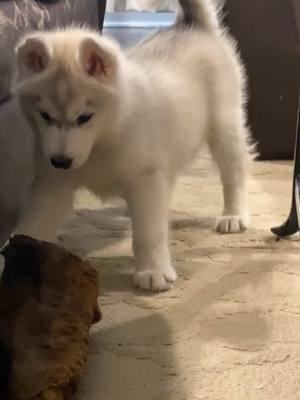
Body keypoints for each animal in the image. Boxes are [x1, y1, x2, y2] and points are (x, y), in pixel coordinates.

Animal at [13, 0, 253, 290]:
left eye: (85, 117)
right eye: (45, 115)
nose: (61, 161)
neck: (104, 139)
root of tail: (191, 25)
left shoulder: (145, 180)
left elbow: (149, 232)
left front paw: (153, 271)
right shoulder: (52, 184)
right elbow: (33, 226)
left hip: (223, 126)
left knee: (233, 172)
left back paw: (233, 215)